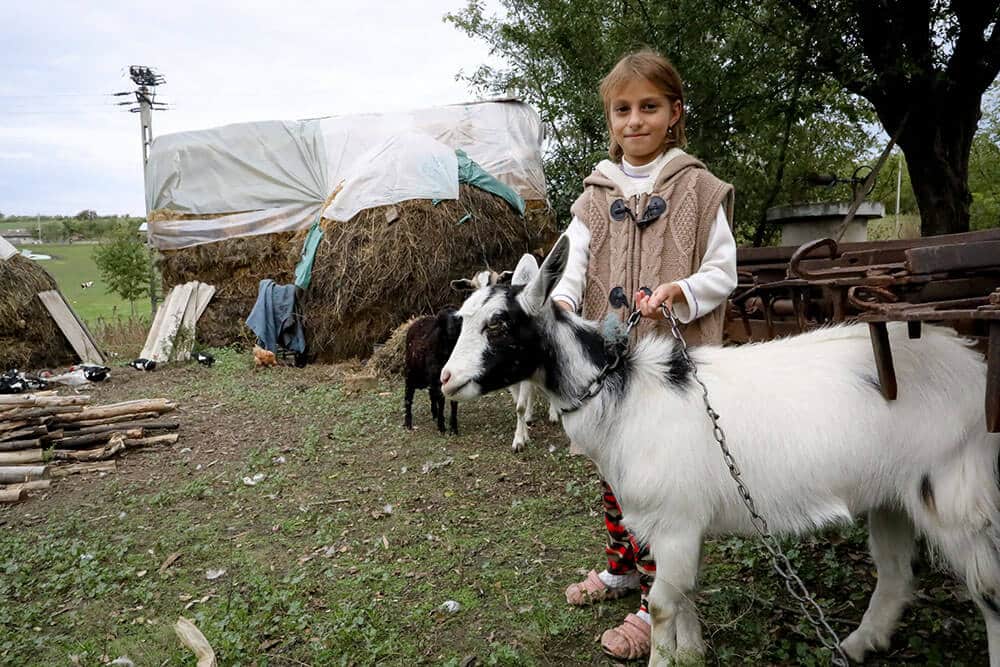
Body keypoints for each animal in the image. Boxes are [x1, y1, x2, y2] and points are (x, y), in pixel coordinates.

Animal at [402, 306, 460, 434]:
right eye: (444, 320)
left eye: (457, 318)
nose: (452, 329)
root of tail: (419, 320)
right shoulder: (437, 380)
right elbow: (441, 403)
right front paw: (442, 427)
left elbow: (453, 404)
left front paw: (453, 428)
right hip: (411, 375)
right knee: (408, 399)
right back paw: (408, 423)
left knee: (431, 394)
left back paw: (434, 414)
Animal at [444, 237, 1000, 667]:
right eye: (463, 317)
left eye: (498, 324)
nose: (447, 379)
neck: (625, 397)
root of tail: (973, 366)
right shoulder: (677, 525)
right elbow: (684, 594)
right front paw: (692, 654)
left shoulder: (673, 523)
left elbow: (662, 606)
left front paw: (666, 657)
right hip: (892, 491)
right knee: (895, 573)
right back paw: (858, 643)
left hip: (956, 492)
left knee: (990, 593)